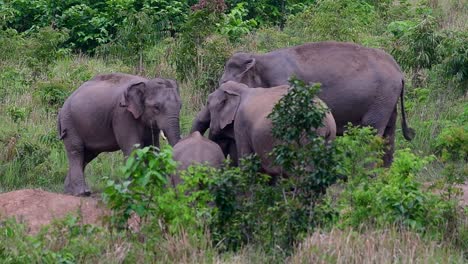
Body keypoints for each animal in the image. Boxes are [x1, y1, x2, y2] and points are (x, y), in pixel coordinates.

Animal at [192, 40, 414, 166]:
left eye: (223, 85)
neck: (259, 59)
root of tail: (400, 72)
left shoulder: (283, 82)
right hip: (388, 100)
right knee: (389, 135)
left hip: (381, 98)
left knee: (371, 134)